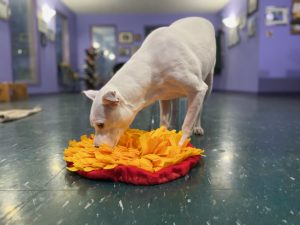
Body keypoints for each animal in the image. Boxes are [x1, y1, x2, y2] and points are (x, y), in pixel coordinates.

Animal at [84, 17, 216, 148]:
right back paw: (173, 126)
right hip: (173, 94)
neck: (150, 67)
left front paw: (180, 144)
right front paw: (162, 136)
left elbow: (187, 124)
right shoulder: (164, 97)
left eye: (100, 125)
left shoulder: (198, 89)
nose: (96, 147)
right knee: (175, 107)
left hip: (208, 85)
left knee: (199, 109)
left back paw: (197, 127)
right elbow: (163, 121)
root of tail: (201, 19)